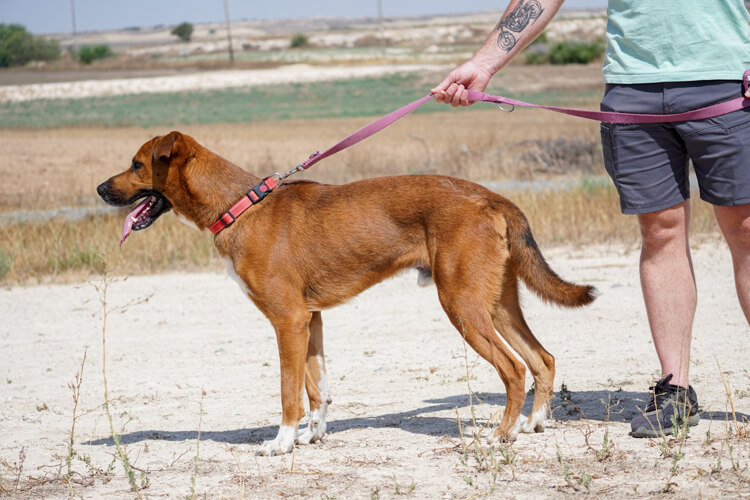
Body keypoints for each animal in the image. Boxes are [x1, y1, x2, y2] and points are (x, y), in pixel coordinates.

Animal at [97, 131, 596, 456]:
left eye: (137, 164)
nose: (101, 188)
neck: (239, 207)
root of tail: (493, 197)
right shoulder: (310, 319)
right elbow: (317, 388)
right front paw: (311, 436)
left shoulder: (288, 321)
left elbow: (289, 392)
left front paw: (281, 442)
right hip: (497, 304)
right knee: (542, 359)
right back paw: (532, 424)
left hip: (463, 307)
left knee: (514, 369)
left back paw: (498, 437)